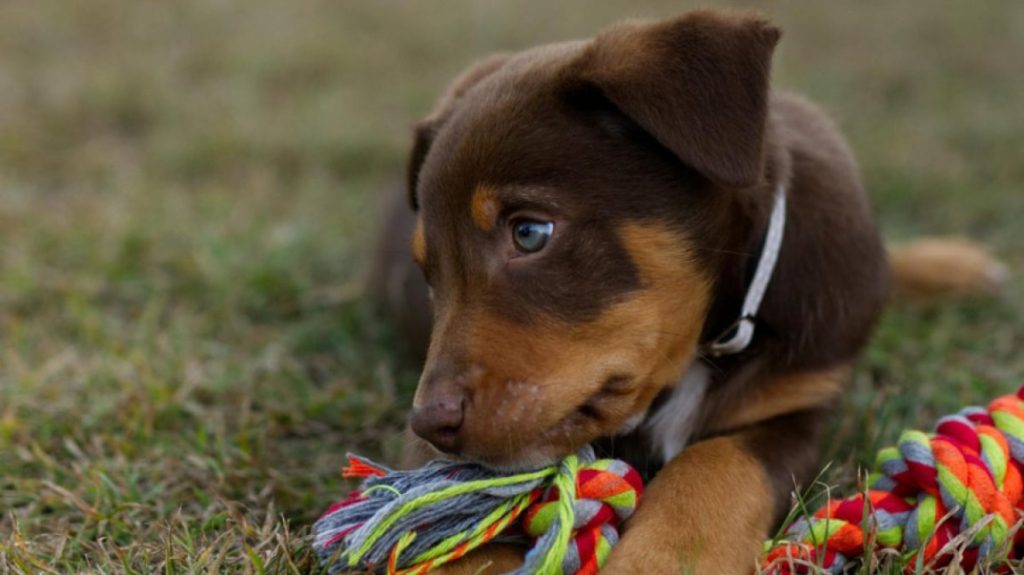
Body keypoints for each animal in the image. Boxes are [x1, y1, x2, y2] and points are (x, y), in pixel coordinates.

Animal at [364, 10, 1003, 572]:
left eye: (530, 232)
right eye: (429, 273)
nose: (429, 423)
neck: (710, 339)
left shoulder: (797, 404)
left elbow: (715, 462)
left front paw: (664, 559)